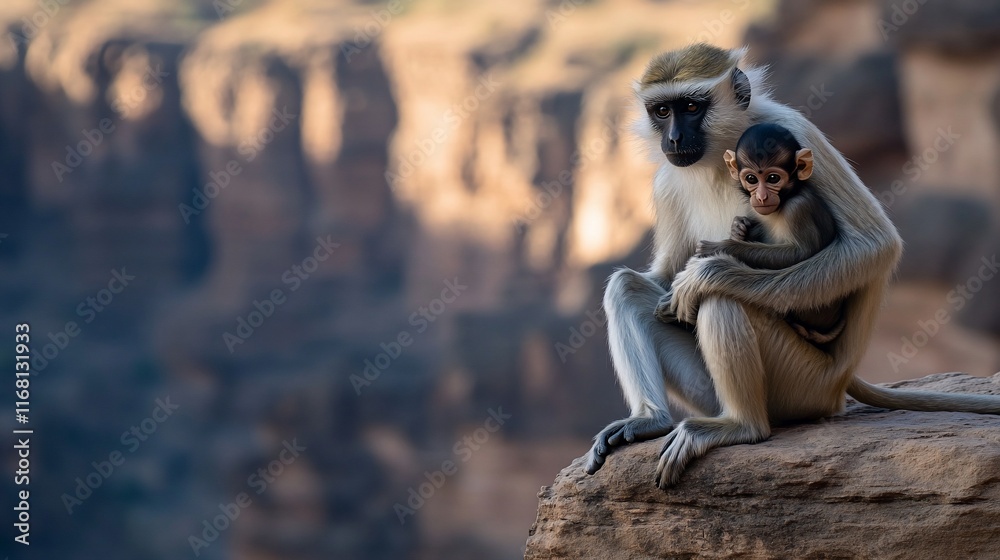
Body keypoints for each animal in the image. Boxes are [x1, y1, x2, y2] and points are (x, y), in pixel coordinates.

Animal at [690, 122, 845, 344]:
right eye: (751, 178)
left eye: (773, 178)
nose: (762, 196)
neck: (788, 197)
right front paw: (739, 228)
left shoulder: (798, 209)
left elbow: (800, 253)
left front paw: (722, 247)